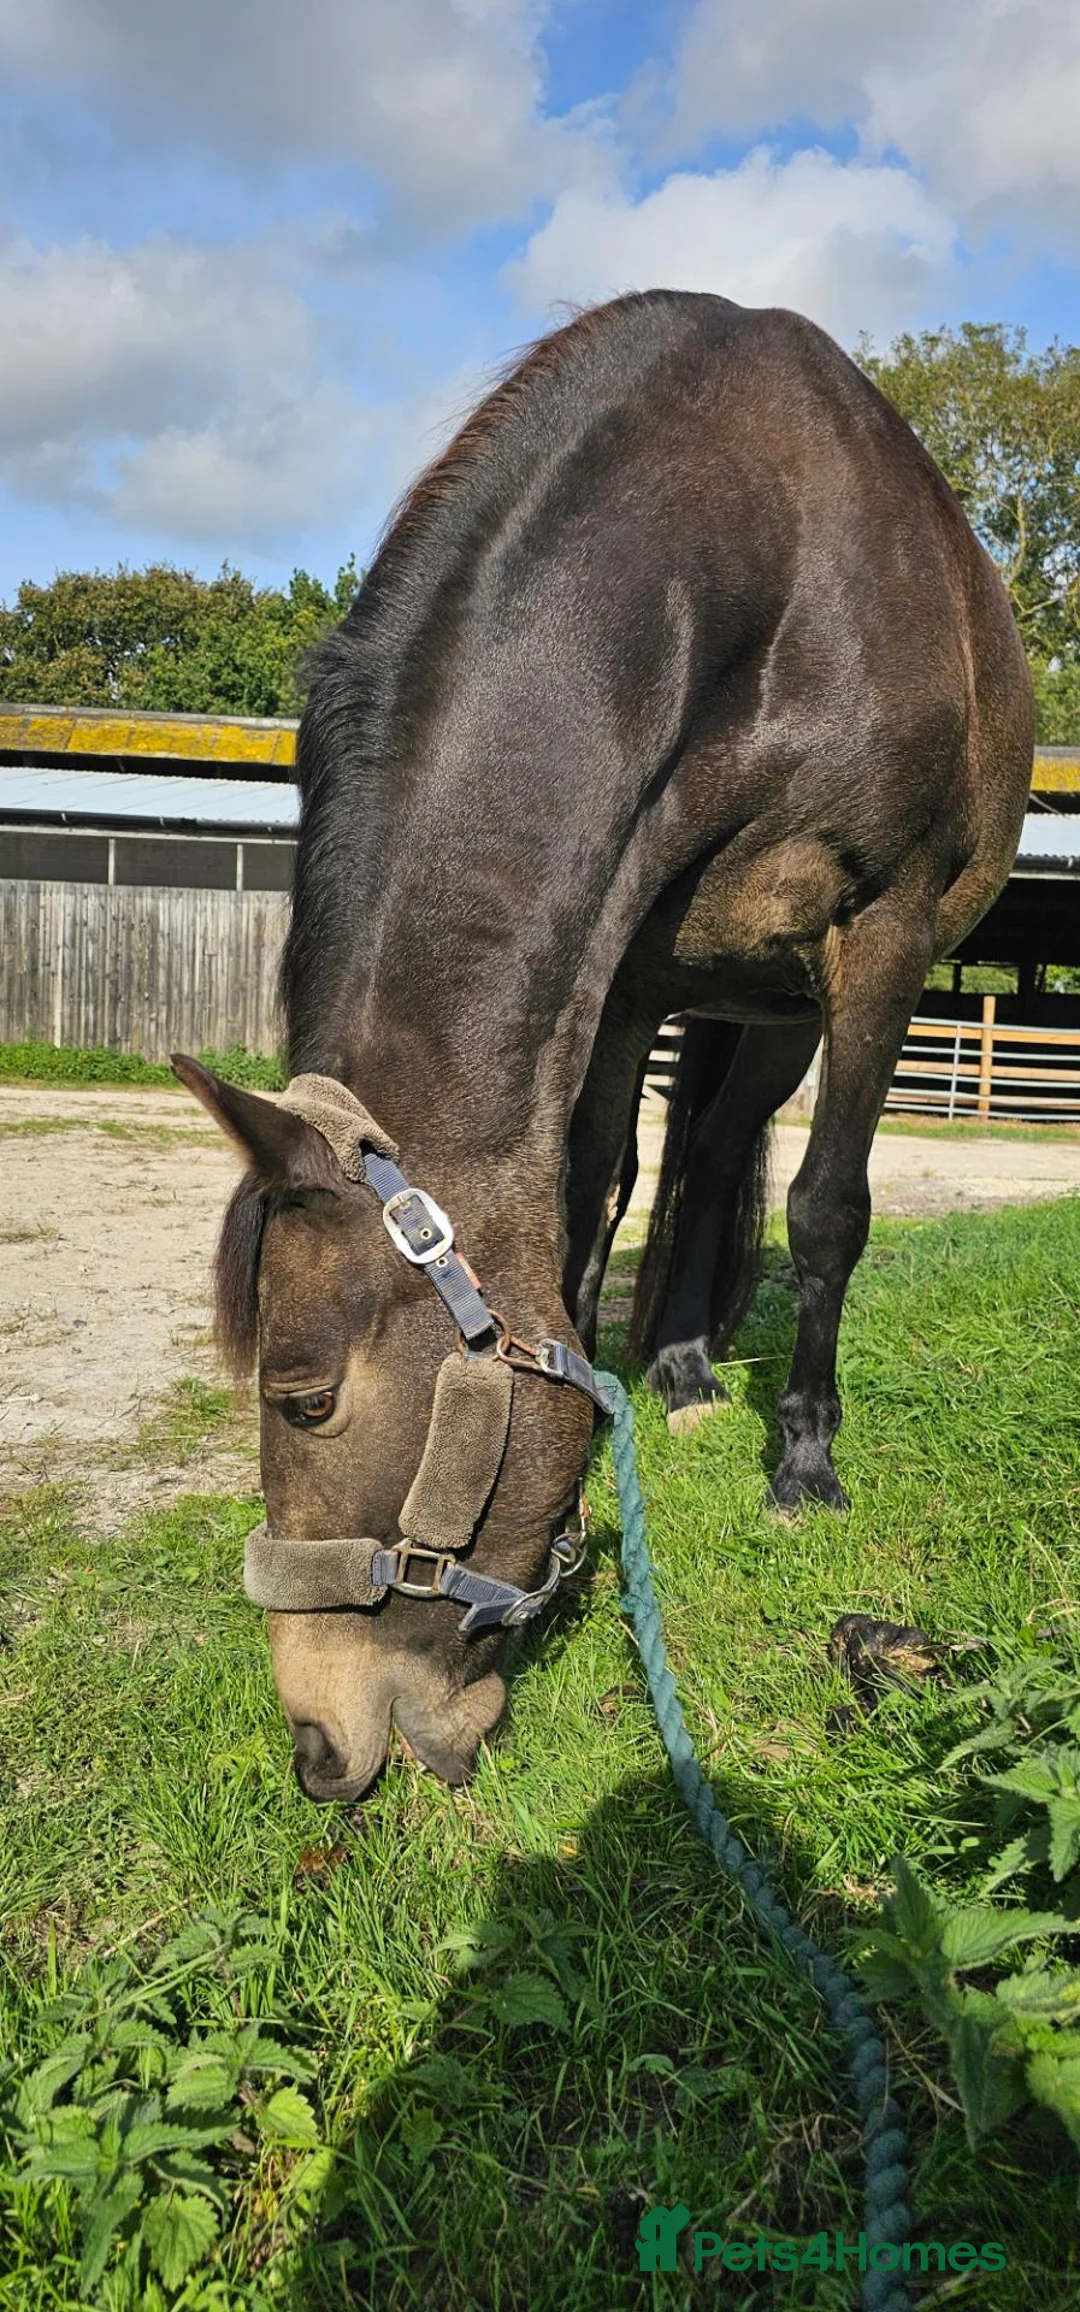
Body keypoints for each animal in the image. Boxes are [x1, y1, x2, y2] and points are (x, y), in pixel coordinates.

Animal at [175, 288, 1032, 1805]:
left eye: (306, 1399)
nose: (320, 1750)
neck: (771, 574)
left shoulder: (881, 942)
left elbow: (828, 1212)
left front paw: (805, 1462)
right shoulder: (623, 969)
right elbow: (589, 1201)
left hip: (791, 1004)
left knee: (754, 1162)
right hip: (734, 1002)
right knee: (712, 1147)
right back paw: (682, 1368)